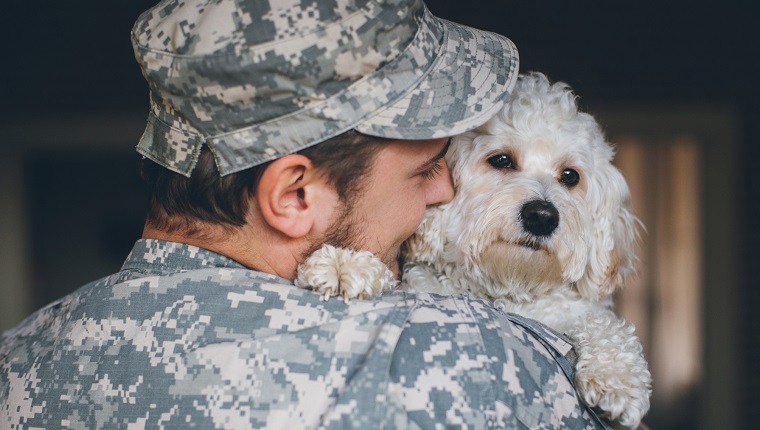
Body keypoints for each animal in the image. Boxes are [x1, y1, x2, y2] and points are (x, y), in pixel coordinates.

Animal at [296, 73, 652, 426]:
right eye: (501, 160)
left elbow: (602, 323)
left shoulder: (569, 311)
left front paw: (617, 377)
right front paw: (346, 265)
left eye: (570, 176)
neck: (507, 286)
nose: (542, 216)